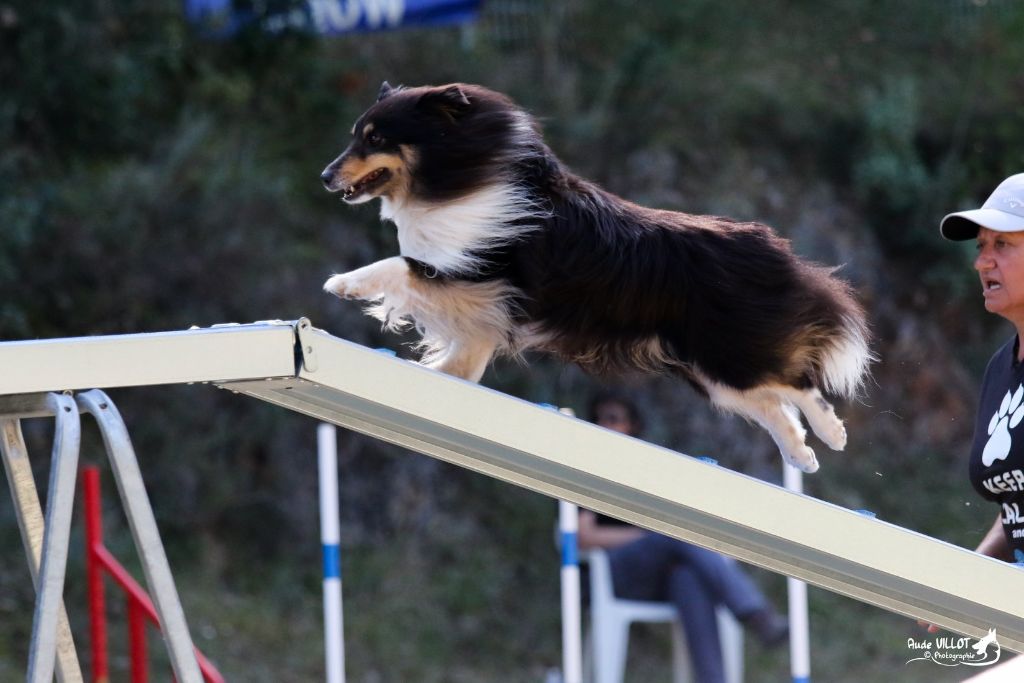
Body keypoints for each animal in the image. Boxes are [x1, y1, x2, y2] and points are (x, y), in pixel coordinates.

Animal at [321, 81, 872, 475]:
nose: (325, 177)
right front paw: (436, 374)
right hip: (707, 365)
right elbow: (463, 358)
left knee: (799, 385)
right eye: (354, 134)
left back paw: (834, 435)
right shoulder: (484, 303)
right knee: (772, 402)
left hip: (727, 350)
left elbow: (399, 267)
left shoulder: (479, 274)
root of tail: (776, 250)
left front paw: (344, 284)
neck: (465, 175)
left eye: (376, 138)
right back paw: (803, 455)